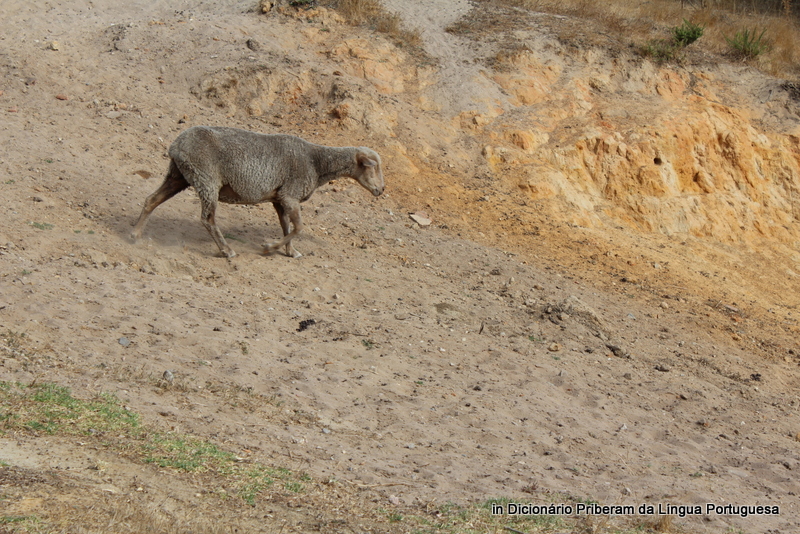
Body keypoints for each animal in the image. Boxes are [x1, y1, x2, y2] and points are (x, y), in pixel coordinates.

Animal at [129, 126, 384, 260]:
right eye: (372, 167)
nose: (381, 190)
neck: (317, 162)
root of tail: (176, 146)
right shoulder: (290, 195)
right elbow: (299, 227)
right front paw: (269, 247)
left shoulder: (279, 199)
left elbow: (287, 226)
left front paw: (290, 251)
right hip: (206, 179)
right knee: (207, 218)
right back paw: (227, 250)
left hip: (178, 175)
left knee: (151, 200)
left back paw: (135, 235)